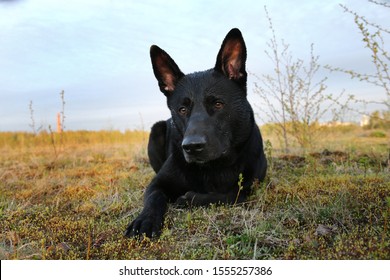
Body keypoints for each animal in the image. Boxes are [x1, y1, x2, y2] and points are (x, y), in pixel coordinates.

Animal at [126, 28, 266, 238]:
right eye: (182, 109)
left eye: (218, 104)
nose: (192, 146)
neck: (213, 168)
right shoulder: (157, 184)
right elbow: (154, 197)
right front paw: (145, 220)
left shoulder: (251, 185)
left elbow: (232, 194)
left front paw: (190, 198)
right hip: (156, 130)